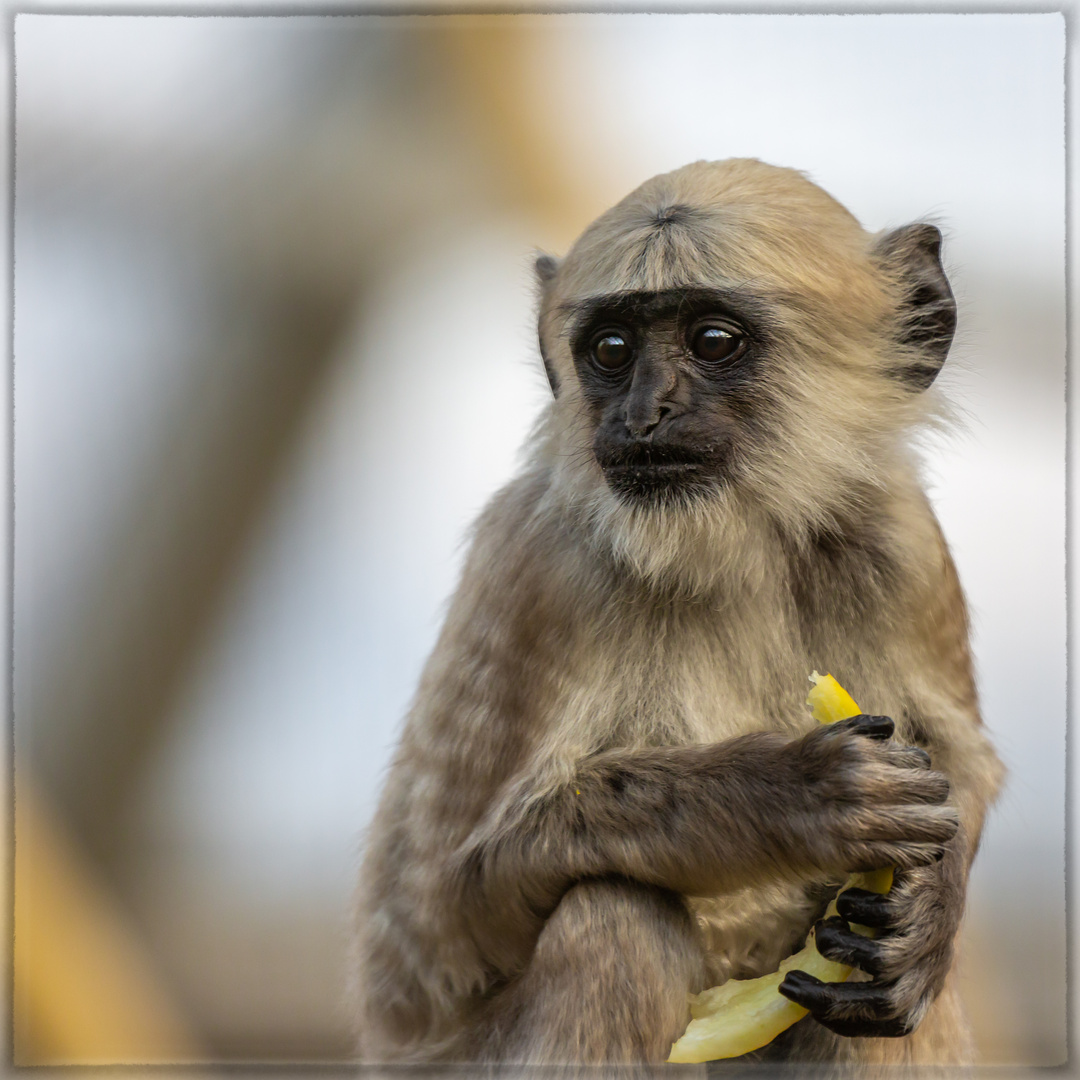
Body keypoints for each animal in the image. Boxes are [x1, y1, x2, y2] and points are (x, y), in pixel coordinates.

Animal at [354, 156, 1002, 1067]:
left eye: (713, 342)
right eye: (612, 350)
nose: (643, 414)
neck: (738, 544)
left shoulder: (905, 541)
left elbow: (958, 773)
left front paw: (927, 909)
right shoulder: (544, 566)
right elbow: (443, 916)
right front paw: (792, 793)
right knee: (614, 920)